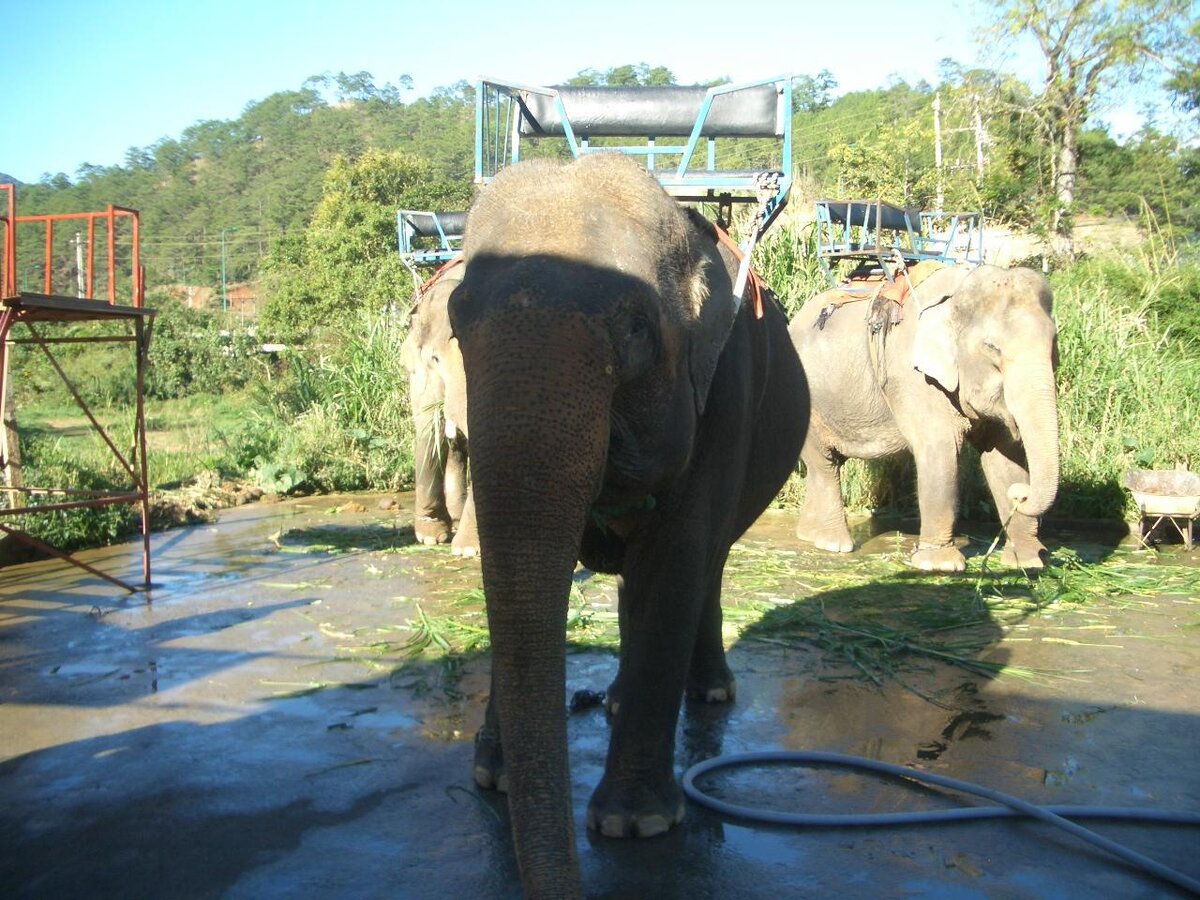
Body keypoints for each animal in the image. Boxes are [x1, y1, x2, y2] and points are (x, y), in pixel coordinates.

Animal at [448, 154, 806, 897]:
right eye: (454, 318)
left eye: (638, 328)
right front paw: (492, 778)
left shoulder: (725, 390)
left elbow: (673, 567)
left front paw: (634, 824)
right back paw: (612, 700)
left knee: (706, 566)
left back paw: (708, 693)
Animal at [787, 260, 1060, 571]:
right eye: (992, 348)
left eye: (1054, 343)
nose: (1021, 493)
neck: (955, 296)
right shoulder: (913, 376)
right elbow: (940, 448)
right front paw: (940, 565)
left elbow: (1004, 455)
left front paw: (1030, 561)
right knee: (825, 464)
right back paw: (834, 544)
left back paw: (810, 536)